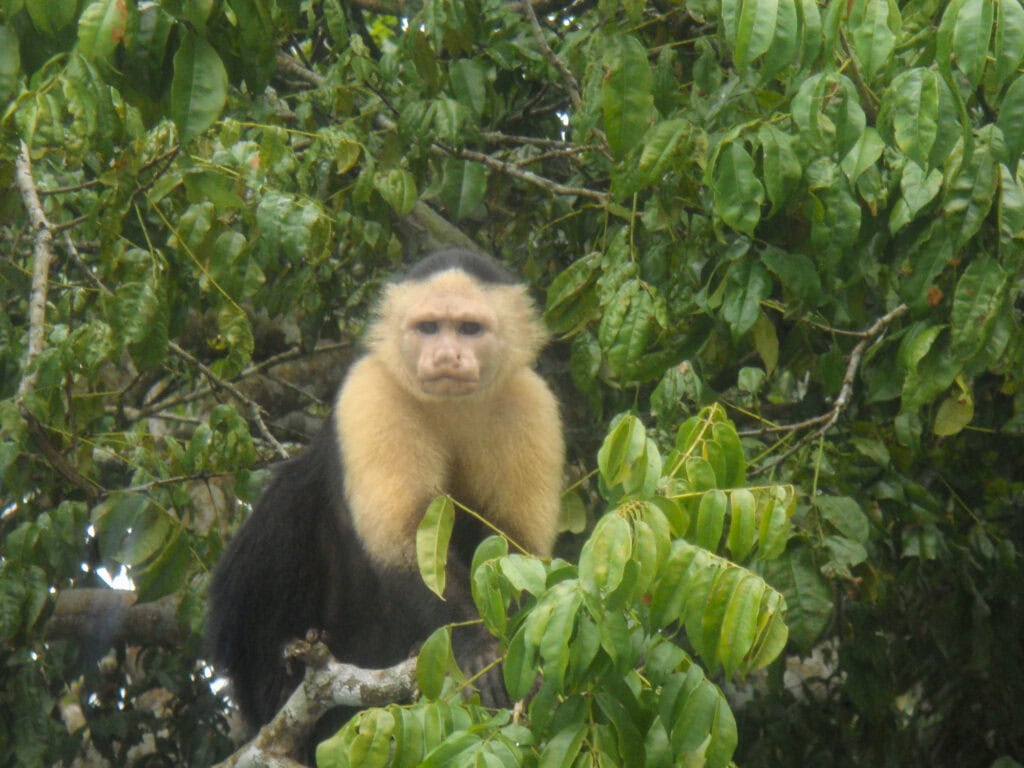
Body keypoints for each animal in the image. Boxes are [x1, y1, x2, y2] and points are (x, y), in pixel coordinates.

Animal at [206, 249, 564, 735]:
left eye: (469, 329)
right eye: (429, 327)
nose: (446, 356)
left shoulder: (532, 403)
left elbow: (514, 551)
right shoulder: (372, 391)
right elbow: (405, 541)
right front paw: (476, 645)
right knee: (288, 511)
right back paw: (277, 679)